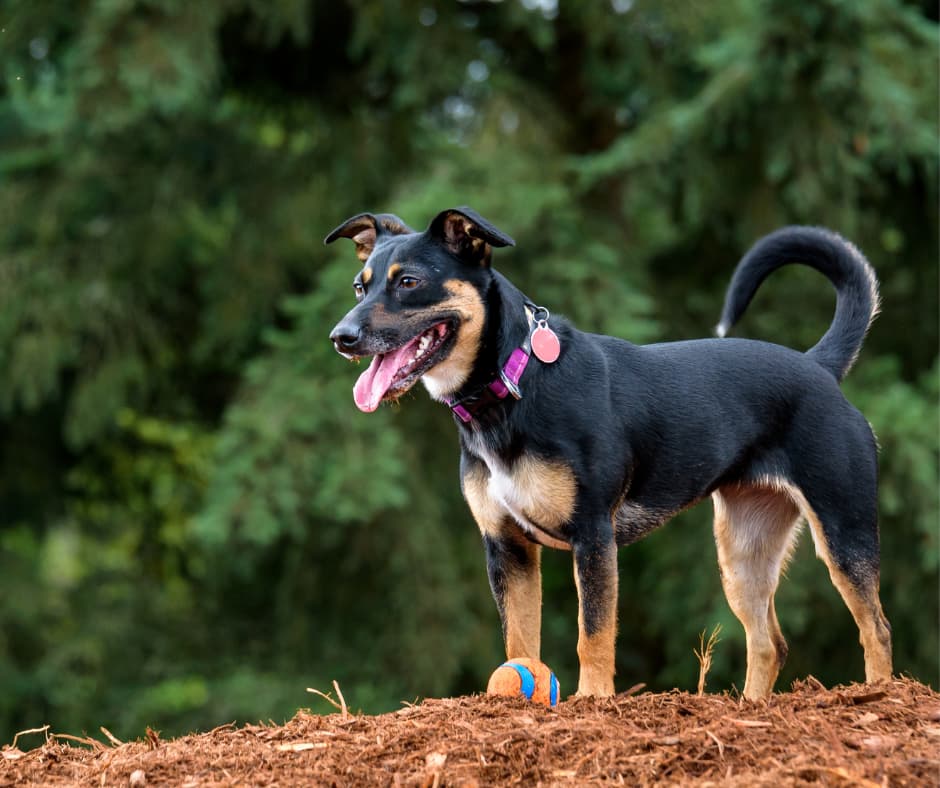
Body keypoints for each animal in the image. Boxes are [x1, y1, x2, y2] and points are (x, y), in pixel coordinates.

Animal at [326, 206, 892, 700]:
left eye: (408, 282)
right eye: (360, 286)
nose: (341, 337)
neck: (513, 382)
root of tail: (818, 367)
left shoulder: (593, 534)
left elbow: (592, 632)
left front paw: (593, 698)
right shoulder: (506, 546)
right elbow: (519, 641)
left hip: (843, 530)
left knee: (876, 629)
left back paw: (880, 696)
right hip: (742, 549)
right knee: (769, 642)